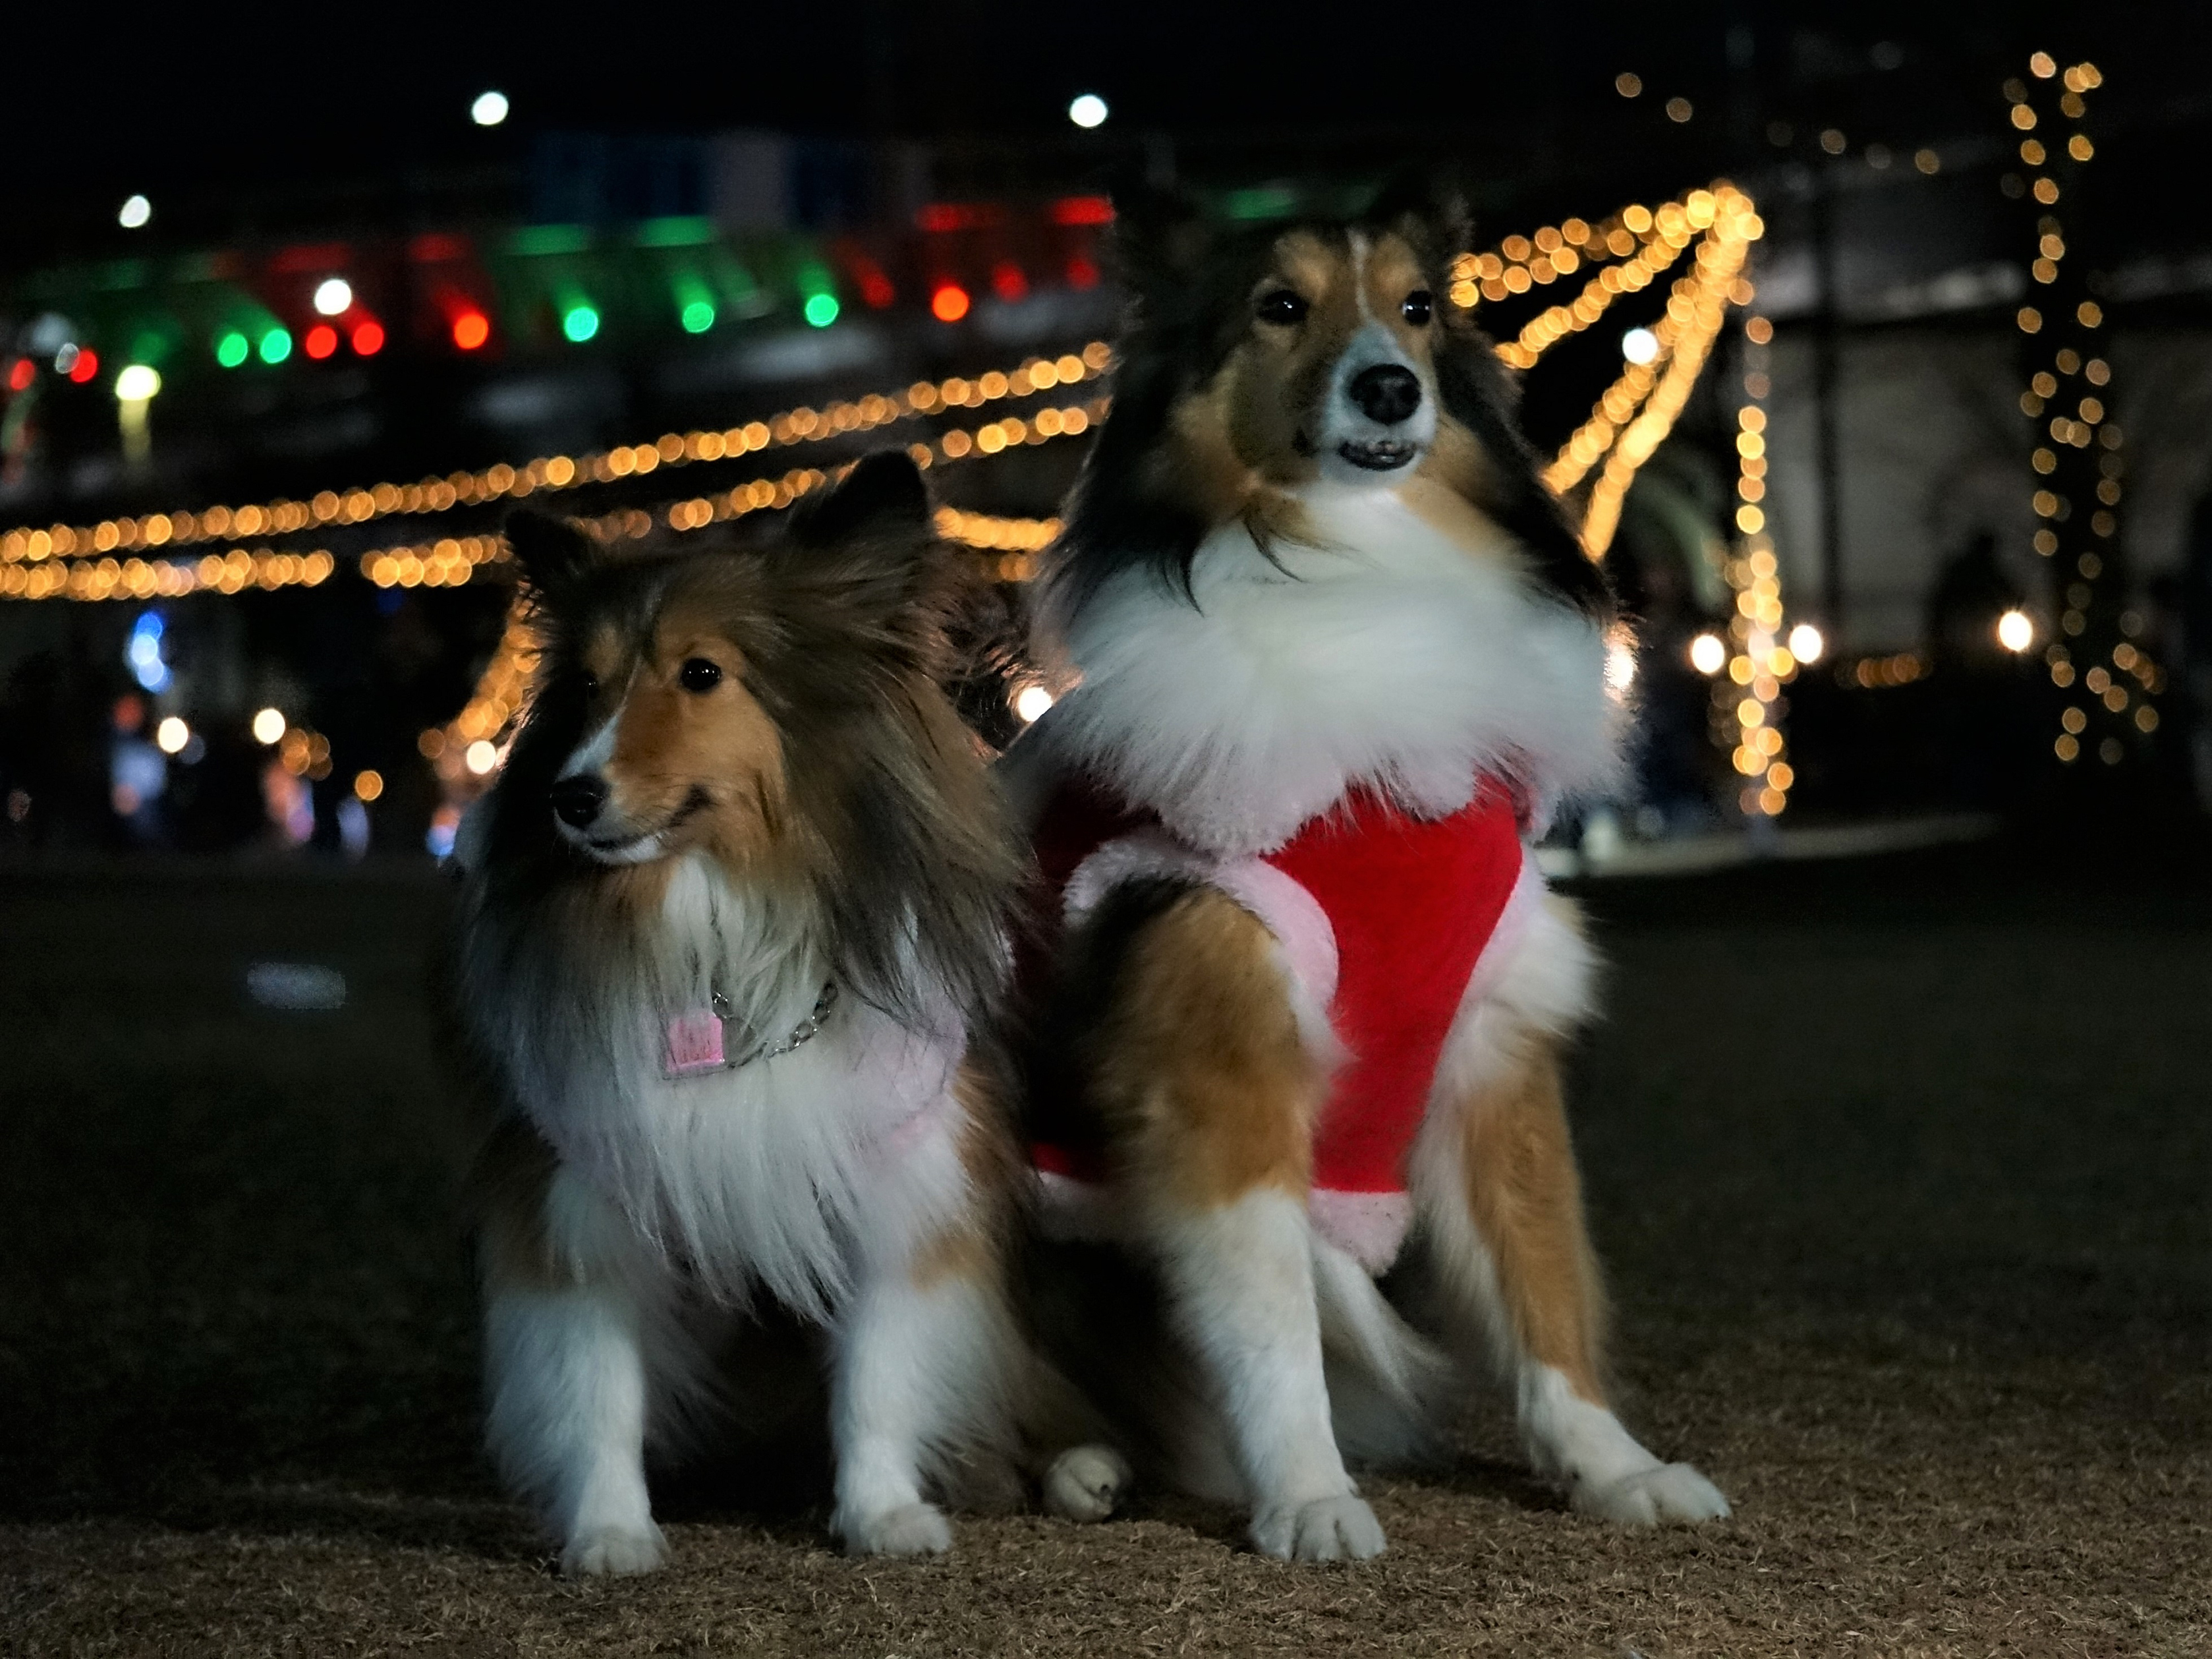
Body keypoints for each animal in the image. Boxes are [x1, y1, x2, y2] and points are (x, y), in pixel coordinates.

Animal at [451, 457, 1123, 1583]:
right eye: (583, 686)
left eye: (702, 674)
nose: (570, 796)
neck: (721, 940)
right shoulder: (581, 1199)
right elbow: (596, 1387)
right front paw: (610, 1531)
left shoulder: (900, 1191)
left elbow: (880, 1377)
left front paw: (884, 1512)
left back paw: (1080, 1465)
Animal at [1013, 188, 1734, 1566]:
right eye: (1278, 306)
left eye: (1417, 307)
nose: (1393, 389)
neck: (1354, 568)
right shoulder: (1217, 1056)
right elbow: (1270, 1322)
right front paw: (1306, 1493)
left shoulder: (1493, 1046)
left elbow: (1543, 1282)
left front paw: (1611, 1468)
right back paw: (1065, 1457)